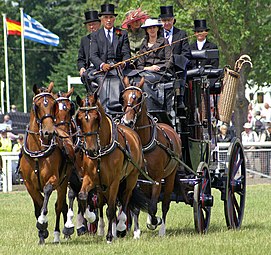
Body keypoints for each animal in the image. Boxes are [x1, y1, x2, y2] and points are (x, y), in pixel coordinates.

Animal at [19, 82, 74, 244]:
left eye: (52, 105)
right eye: (37, 106)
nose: (49, 132)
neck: (37, 152)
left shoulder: (54, 179)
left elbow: (47, 194)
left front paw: (43, 222)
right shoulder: (29, 184)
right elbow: (39, 204)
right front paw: (41, 234)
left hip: (64, 182)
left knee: (60, 205)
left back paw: (59, 233)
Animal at [75, 92, 144, 243]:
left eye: (96, 118)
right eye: (80, 119)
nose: (90, 149)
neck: (101, 151)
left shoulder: (114, 182)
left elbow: (111, 209)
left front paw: (110, 236)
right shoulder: (91, 178)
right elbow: (82, 196)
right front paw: (91, 218)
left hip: (131, 178)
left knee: (124, 200)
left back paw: (120, 227)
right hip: (102, 186)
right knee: (102, 203)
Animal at [121, 76, 183, 237]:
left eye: (138, 98)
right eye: (123, 97)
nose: (127, 122)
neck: (143, 143)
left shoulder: (156, 179)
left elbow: (154, 206)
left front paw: (154, 221)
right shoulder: (136, 179)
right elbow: (136, 207)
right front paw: (136, 232)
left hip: (170, 178)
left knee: (165, 203)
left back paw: (162, 230)